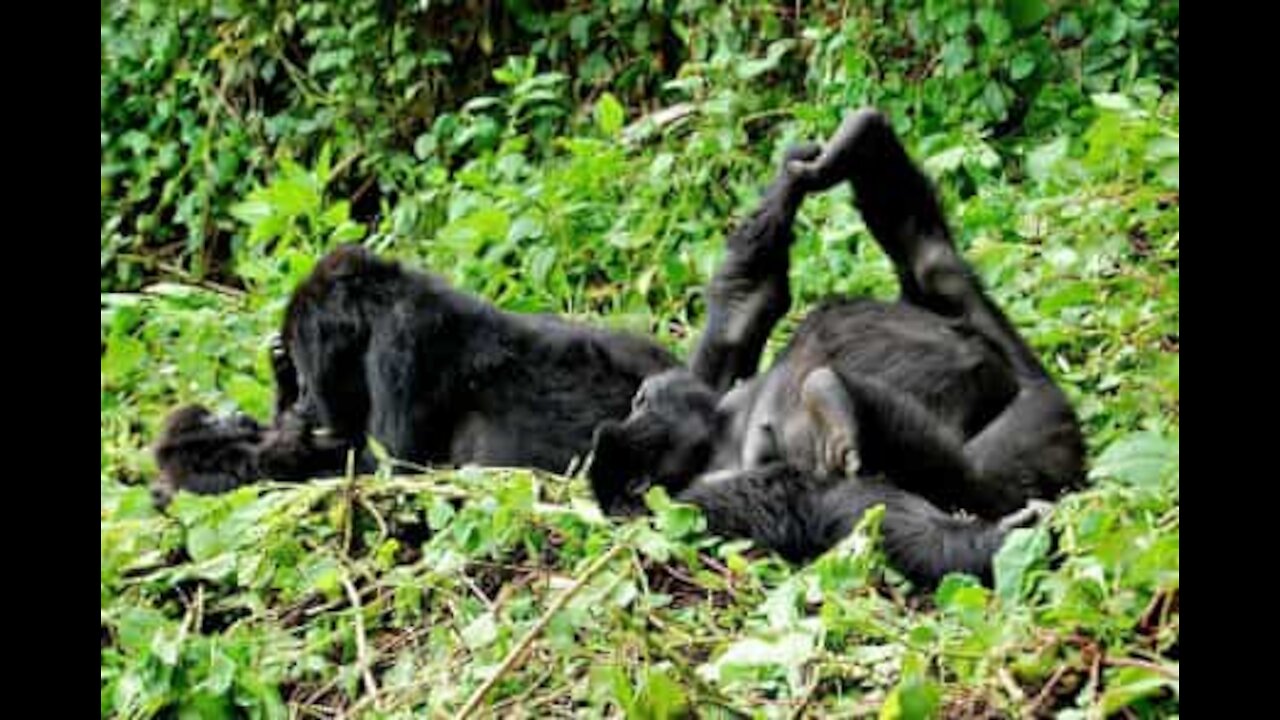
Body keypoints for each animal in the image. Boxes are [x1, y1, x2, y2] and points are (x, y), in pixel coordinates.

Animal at [586, 109, 1080, 586]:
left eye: (639, 401)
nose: (641, 398)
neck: (715, 439)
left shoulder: (709, 382)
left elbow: (744, 303)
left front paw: (797, 174)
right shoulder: (705, 500)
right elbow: (860, 510)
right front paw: (999, 543)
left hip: (1017, 365)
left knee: (933, 264)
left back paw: (862, 138)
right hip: (1041, 425)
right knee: (975, 475)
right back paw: (835, 396)